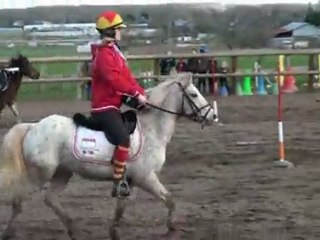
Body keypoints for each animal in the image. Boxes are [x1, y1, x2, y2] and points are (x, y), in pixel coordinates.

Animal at [0, 73, 215, 240]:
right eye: (194, 94)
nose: (212, 116)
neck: (151, 130)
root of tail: (32, 127)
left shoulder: (130, 181)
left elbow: (121, 208)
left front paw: (114, 233)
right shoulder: (145, 177)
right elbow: (169, 199)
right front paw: (171, 228)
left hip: (63, 172)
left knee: (50, 199)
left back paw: (75, 230)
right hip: (40, 174)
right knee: (19, 201)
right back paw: (9, 232)